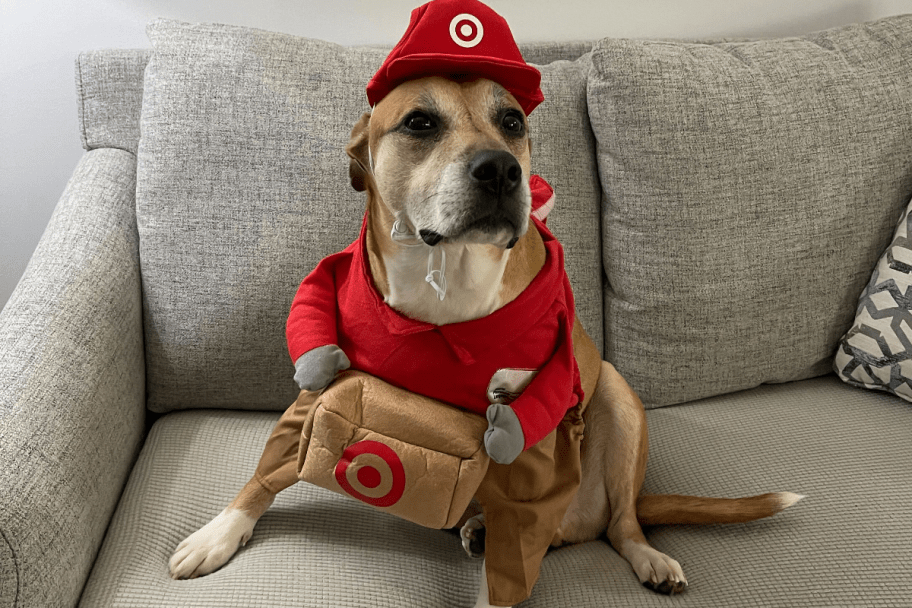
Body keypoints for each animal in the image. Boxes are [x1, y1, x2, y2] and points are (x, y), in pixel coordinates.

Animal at [167, 76, 800, 608]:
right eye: (420, 122)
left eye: (513, 121)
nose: (501, 170)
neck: (446, 279)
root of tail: (586, 519)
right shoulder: (316, 389)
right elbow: (266, 472)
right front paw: (218, 533)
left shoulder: (527, 422)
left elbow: (509, 565)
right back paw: (477, 527)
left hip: (618, 403)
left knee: (617, 525)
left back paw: (641, 554)